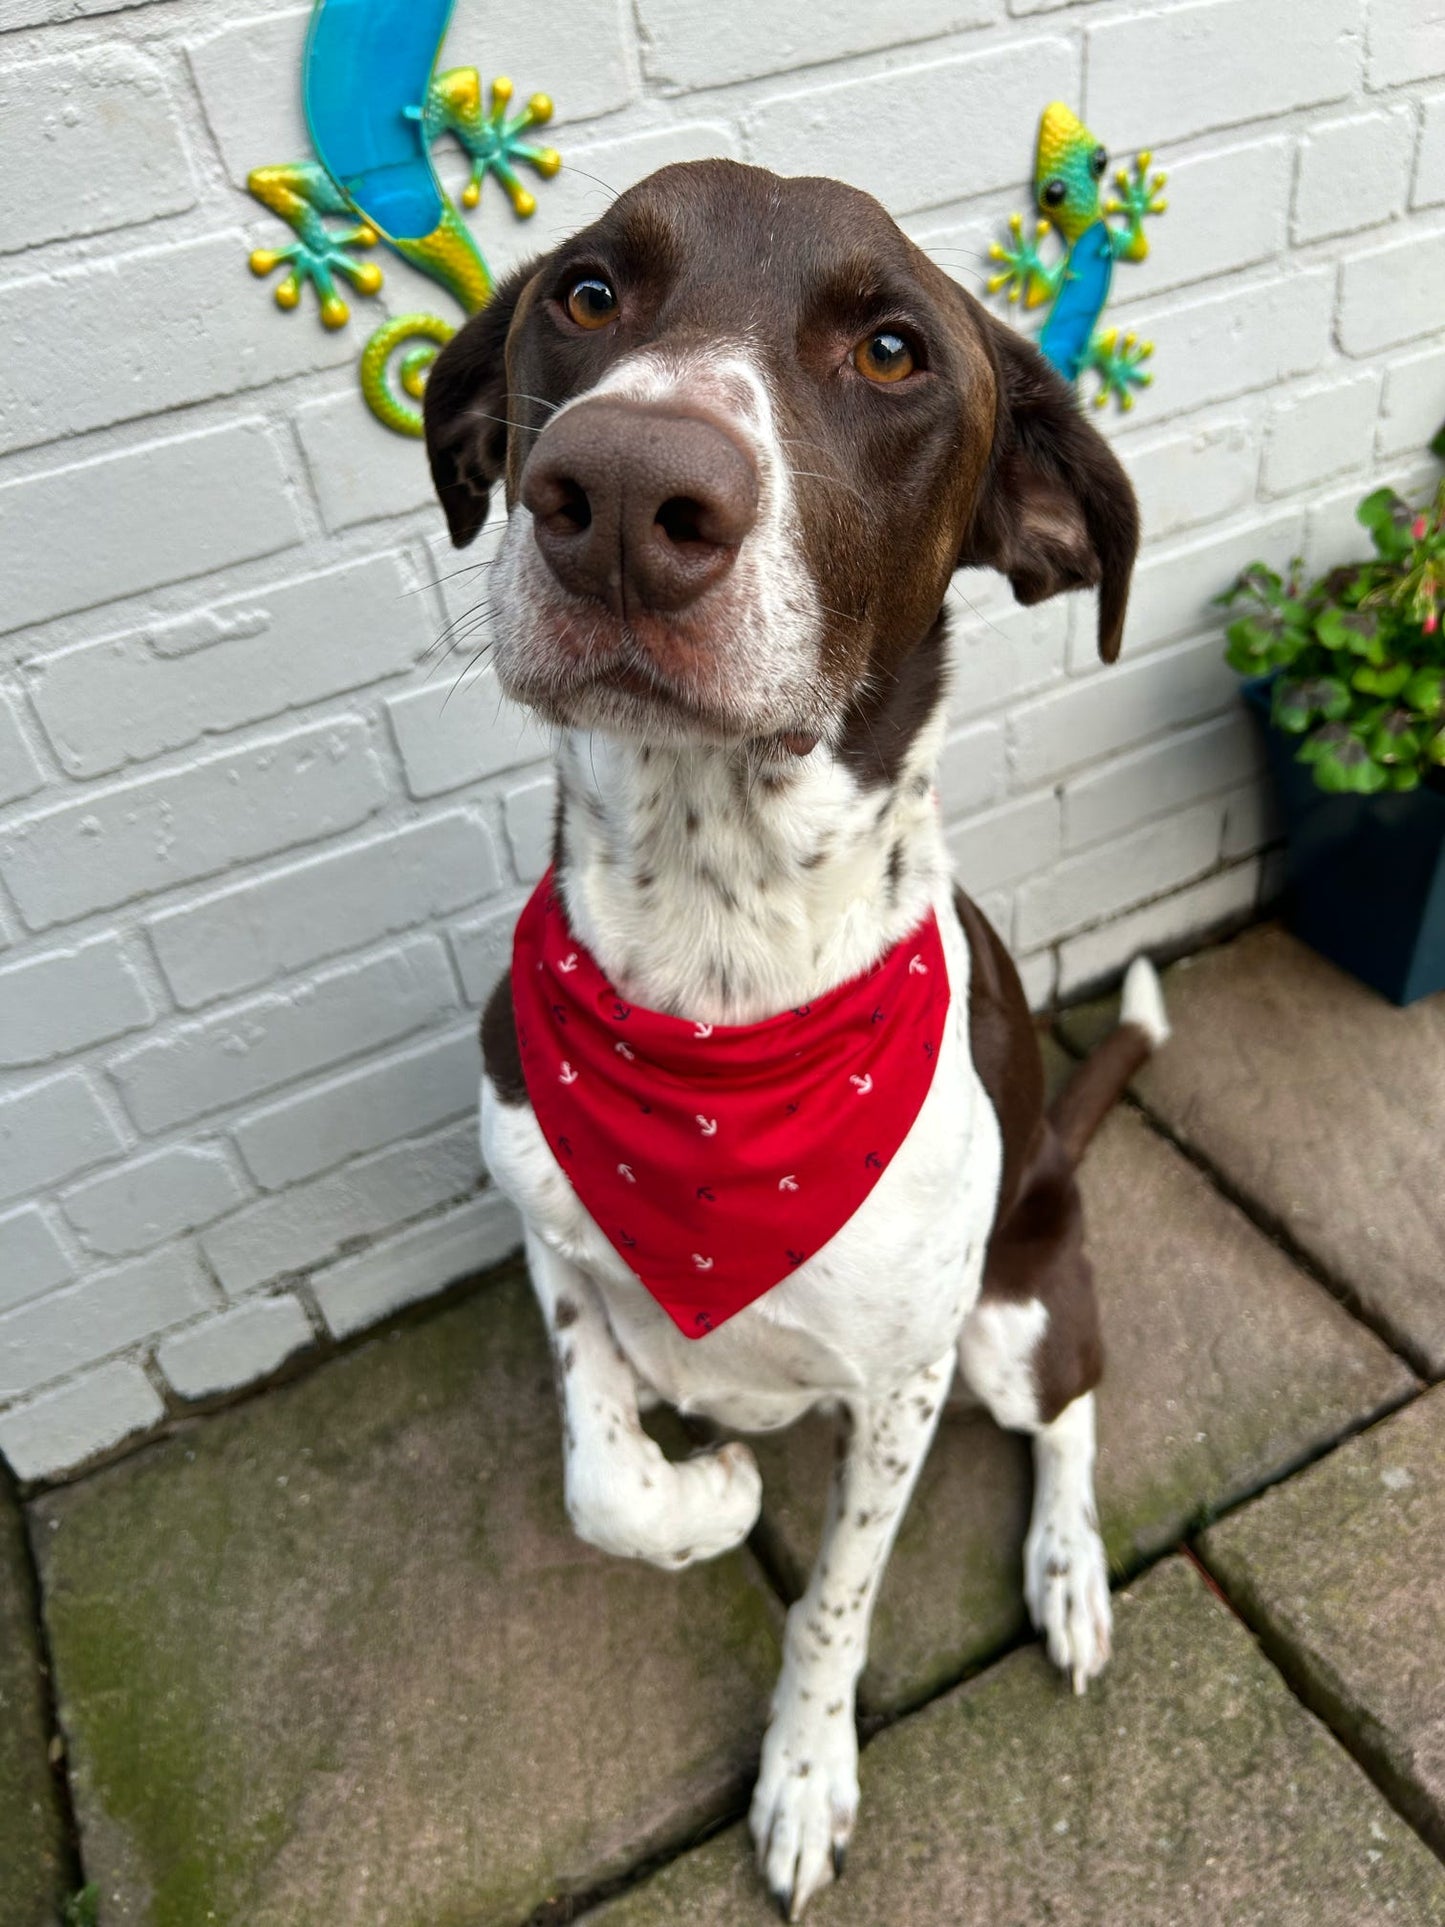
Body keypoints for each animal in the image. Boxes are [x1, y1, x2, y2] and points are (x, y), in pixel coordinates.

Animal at [423, 158, 1171, 1919]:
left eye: (893, 350)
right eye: (587, 293)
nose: (622, 490)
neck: (716, 958)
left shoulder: (904, 1381)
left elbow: (835, 1596)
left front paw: (805, 1769)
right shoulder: (549, 1237)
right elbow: (602, 1473)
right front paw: (707, 1495)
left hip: (1015, 1310)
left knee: (1075, 1402)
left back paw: (1068, 1567)